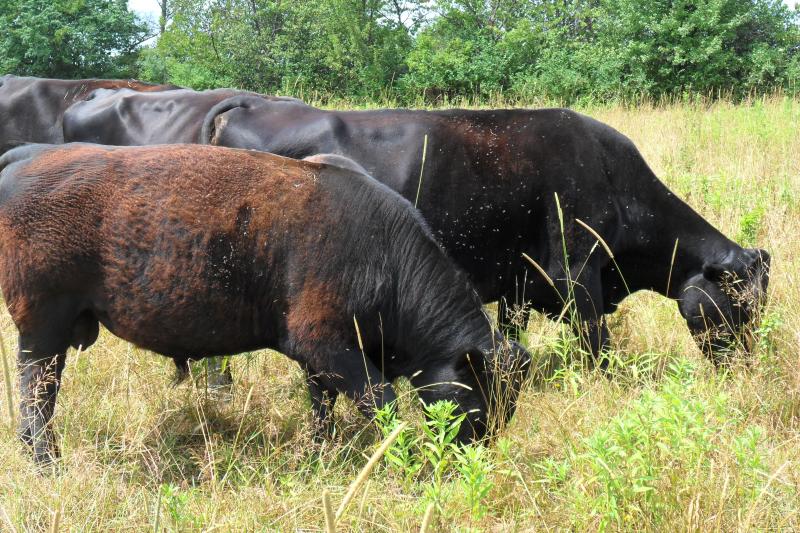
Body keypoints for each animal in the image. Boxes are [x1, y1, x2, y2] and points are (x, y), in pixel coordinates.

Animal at [0, 143, 531, 464]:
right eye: (477, 401)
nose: (474, 454)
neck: (383, 250)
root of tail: (26, 157)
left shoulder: (321, 360)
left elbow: (322, 406)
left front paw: (320, 452)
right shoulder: (331, 347)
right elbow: (381, 403)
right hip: (42, 331)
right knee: (37, 394)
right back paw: (46, 460)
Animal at [200, 98, 771, 367]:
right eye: (741, 305)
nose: (746, 367)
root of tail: (250, 104)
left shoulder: (518, 282)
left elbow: (514, 329)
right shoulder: (577, 272)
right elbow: (597, 345)